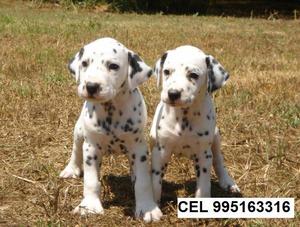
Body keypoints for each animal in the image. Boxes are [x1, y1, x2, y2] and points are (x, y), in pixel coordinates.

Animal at [59, 37, 162, 222]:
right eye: (84, 63)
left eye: (113, 66)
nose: (91, 86)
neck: (111, 110)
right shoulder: (91, 148)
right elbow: (91, 181)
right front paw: (89, 206)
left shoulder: (139, 148)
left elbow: (143, 182)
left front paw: (147, 208)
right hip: (79, 132)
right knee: (75, 151)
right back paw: (71, 169)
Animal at [151, 45, 240, 203]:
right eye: (166, 71)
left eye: (193, 75)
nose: (172, 94)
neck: (184, 118)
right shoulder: (160, 152)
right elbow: (156, 183)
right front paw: (152, 204)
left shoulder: (204, 156)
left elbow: (203, 186)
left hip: (216, 137)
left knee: (218, 160)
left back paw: (228, 182)